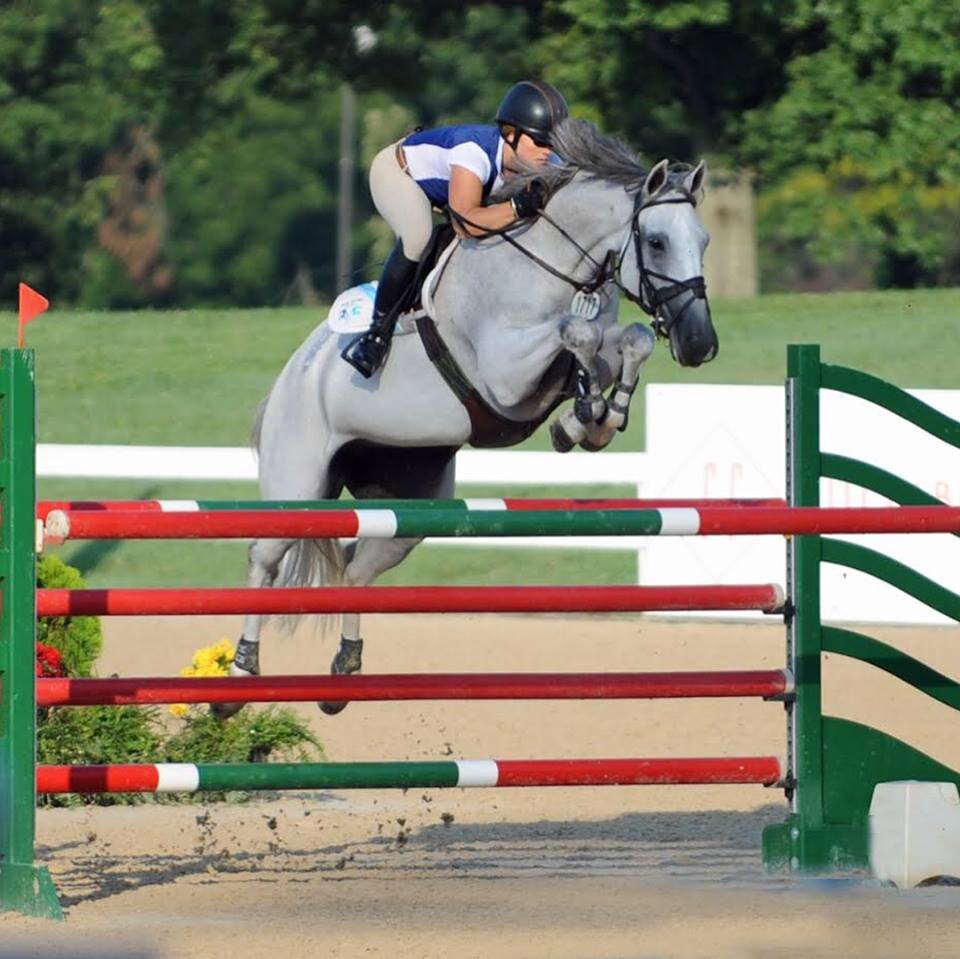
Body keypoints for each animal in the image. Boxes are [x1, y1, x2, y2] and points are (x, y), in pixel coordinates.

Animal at [218, 119, 717, 716]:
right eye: (658, 242)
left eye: (704, 241)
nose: (700, 344)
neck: (555, 265)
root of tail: (291, 376)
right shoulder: (505, 375)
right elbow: (576, 333)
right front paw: (586, 412)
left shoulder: (586, 350)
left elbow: (627, 339)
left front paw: (591, 419)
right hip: (296, 485)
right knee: (264, 560)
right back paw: (237, 678)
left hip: (407, 506)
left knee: (356, 566)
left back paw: (344, 673)